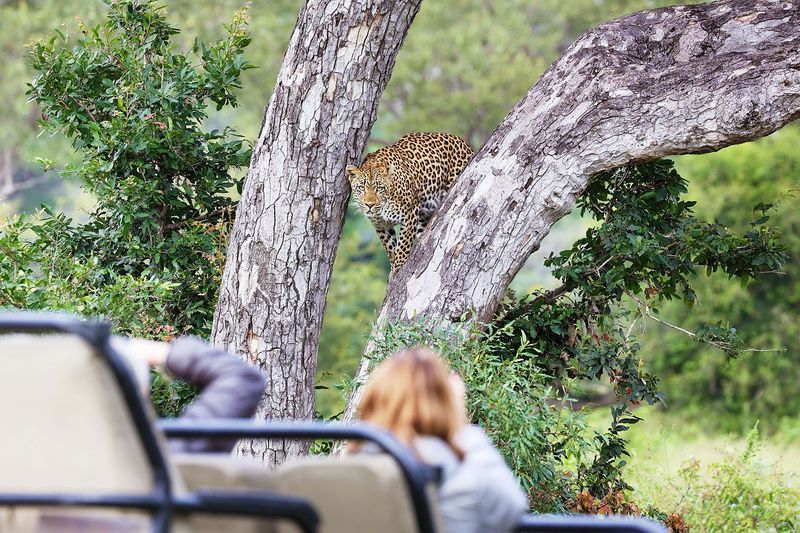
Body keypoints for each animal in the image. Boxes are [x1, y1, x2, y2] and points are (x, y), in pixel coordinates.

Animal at [346, 132, 474, 272]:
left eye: (379, 188)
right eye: (361, 188)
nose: (369, 205)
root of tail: (464, 143)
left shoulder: (409, 214)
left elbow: (403, 245)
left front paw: (397, 268)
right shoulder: (380, 225)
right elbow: (390, 247)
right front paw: (393, 267)